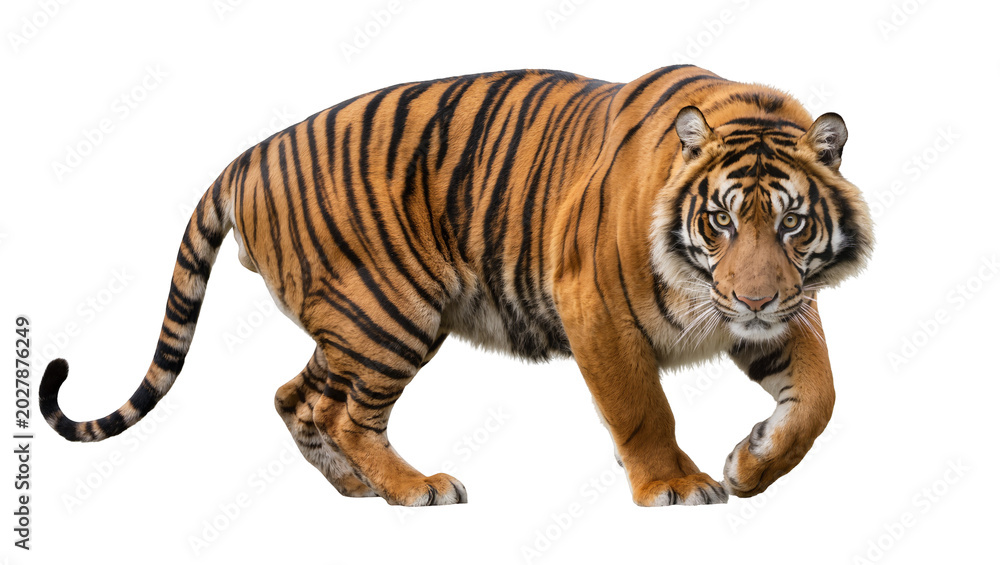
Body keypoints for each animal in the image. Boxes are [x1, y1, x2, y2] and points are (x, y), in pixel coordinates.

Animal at [40, 64, 873, 507]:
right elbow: (641, 405)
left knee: (295, 395)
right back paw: (416, 488)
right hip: (390, 313)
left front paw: (752, 461)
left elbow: (820, 398)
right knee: (345, 413)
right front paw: (673, 484)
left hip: (353, 322)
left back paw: (357, 488)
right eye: (721, 221)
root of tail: (249, 154)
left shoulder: (783, 310)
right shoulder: (595, 306)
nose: (755, 300)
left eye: (792, 223)